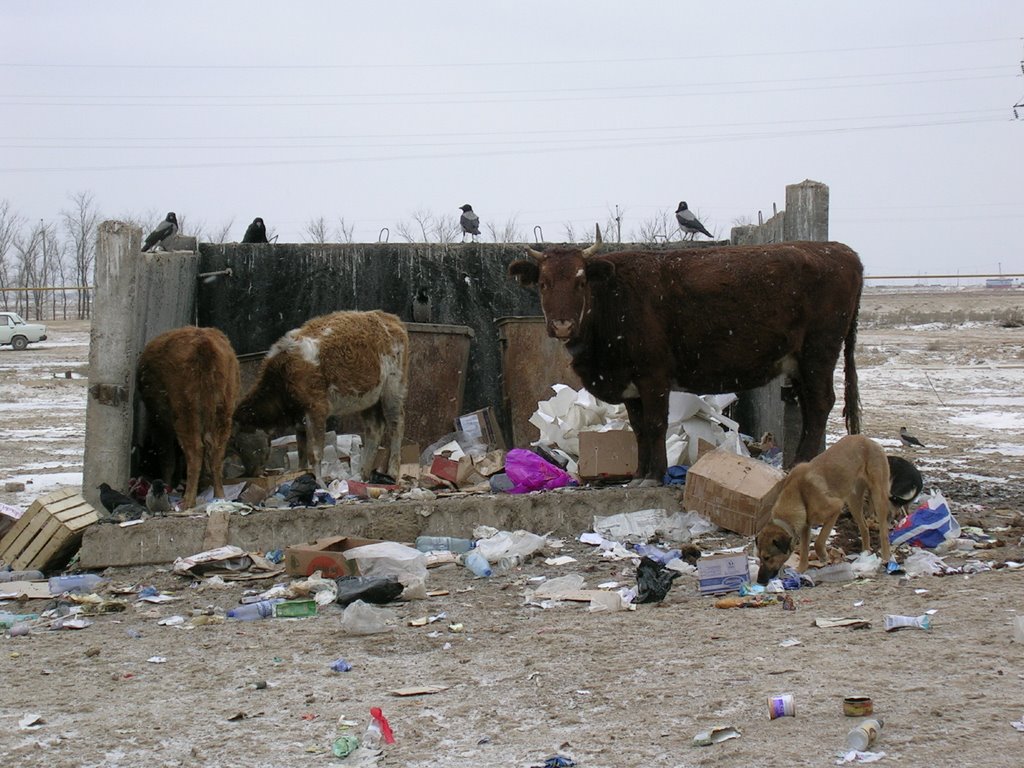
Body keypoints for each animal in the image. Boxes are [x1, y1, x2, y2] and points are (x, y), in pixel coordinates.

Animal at [136, 326, 240, 509]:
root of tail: (204, 344)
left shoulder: (160, 425)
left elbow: (167, 458)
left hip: (186, 413)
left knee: (195, 450)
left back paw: (188, 501)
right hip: (223, 411)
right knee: (216, 452)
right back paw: (219, 496)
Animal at [234, 310, 409, 482]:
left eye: (240, 446)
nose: (251, 473)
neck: (283, 373)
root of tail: (389, 318)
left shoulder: (316, 409)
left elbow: (315, 453)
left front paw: (319, 483)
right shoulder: (300, 419)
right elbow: (301, 452)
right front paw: (301, 473)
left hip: (393, 390)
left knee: (396, 425)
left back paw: (392, 472)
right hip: (369, 398)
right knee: (374, 429)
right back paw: (362, 475)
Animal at [509, 227, 864, 484]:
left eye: (580, 281)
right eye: (543, 283)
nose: (562, 324)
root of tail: (841, 251)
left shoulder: (654, 375)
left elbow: (655, 424)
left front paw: (656, 475)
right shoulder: (631, 385)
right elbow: (639, 429)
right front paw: (639, 474)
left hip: (819, 353)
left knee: (820, 404)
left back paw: (802, 463)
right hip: (801, 362)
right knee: (809, 406)